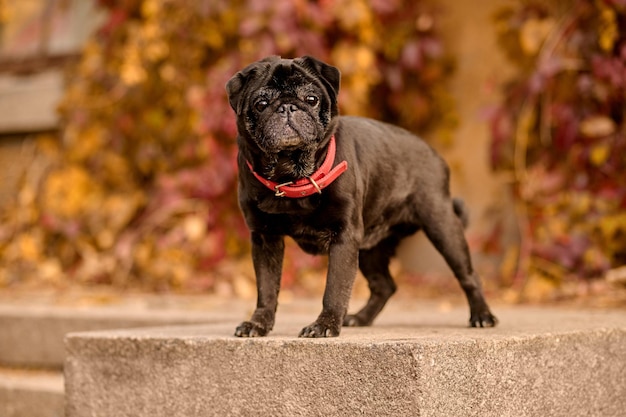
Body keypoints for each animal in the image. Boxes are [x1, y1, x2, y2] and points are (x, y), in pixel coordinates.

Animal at [227, 55, 494, 336]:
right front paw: (258, 323)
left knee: (468, 275)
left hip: (442, 226)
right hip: (369, 247)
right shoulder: (265, 238)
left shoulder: (344, 236)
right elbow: (267, 287)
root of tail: (434, 155)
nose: (288, 107)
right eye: (261, 104)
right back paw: (360, 318)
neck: (292, 174)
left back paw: (482, 315)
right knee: (384, 285)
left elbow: (335, 288)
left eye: (311, 99)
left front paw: (325, 325)